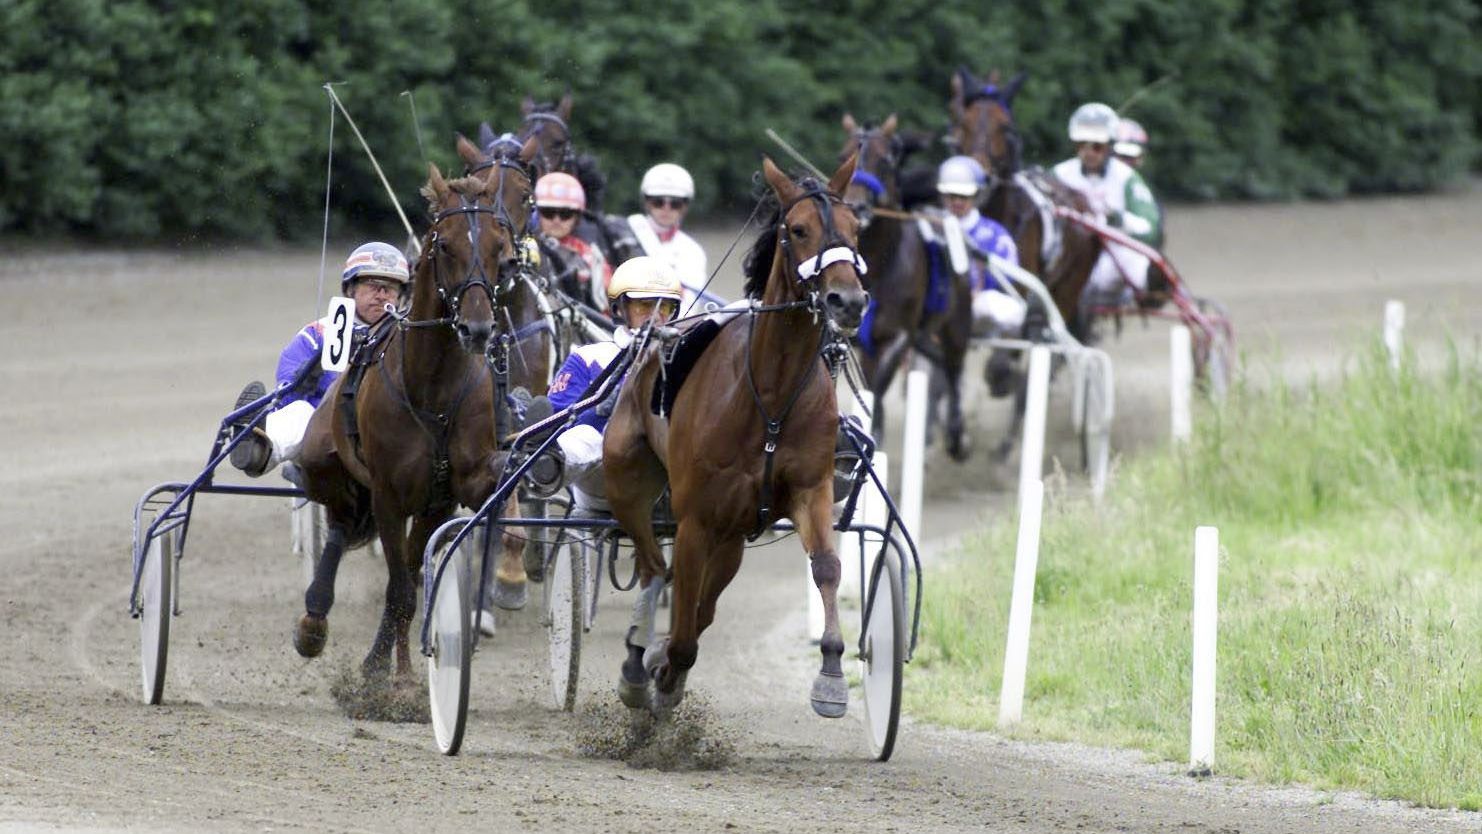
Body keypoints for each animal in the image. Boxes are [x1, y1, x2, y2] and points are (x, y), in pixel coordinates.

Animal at [290, 135, 545, 684]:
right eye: (444, 244)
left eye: (498, 250)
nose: (477, 328)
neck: (431, 389)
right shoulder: (389, 495)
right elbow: (401, 588)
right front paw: (376, 674)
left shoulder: (445, 494)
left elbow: (413, 575)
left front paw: (400, 672)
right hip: (322, 460)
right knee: (339, 522)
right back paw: (315, 619)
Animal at [595, 154, 865, 716]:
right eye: (799, 229)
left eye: (855, 228)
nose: (847, 300)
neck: (770, 398)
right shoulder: (696, 520)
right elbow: (682, 629)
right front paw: (661, 674)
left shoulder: (808, 489)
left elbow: (827, 566)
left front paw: (831, 675)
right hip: (628, 484)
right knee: (654, 568)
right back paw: (638, 663)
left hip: (734, 535)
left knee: (698, 600)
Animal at [841, 112, 978, 456]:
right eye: (843, 156)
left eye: (885, 159)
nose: (856, 206)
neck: (876, 267)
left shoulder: (898, 335)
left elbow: (877, 387)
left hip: (957, 326)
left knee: (953, 368)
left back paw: (957, 434)